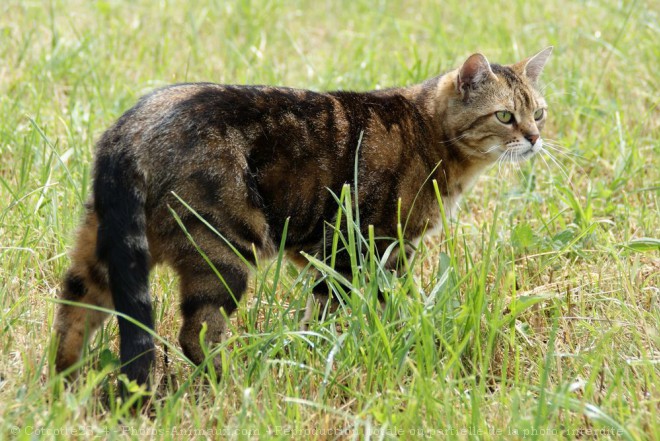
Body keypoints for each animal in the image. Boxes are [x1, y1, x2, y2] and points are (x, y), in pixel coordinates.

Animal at [54, 46, 556, 390]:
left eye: (539, 113)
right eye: (505, 116)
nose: (534, 138)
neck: (428, 132)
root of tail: (129, 130)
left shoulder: (337, 251)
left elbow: (339, 309)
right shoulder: (368, 245)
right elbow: (364, 308)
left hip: (103, 250)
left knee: (72, 316)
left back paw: (66, 390)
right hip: (224, 247)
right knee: (195, 333)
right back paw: (233, 382)